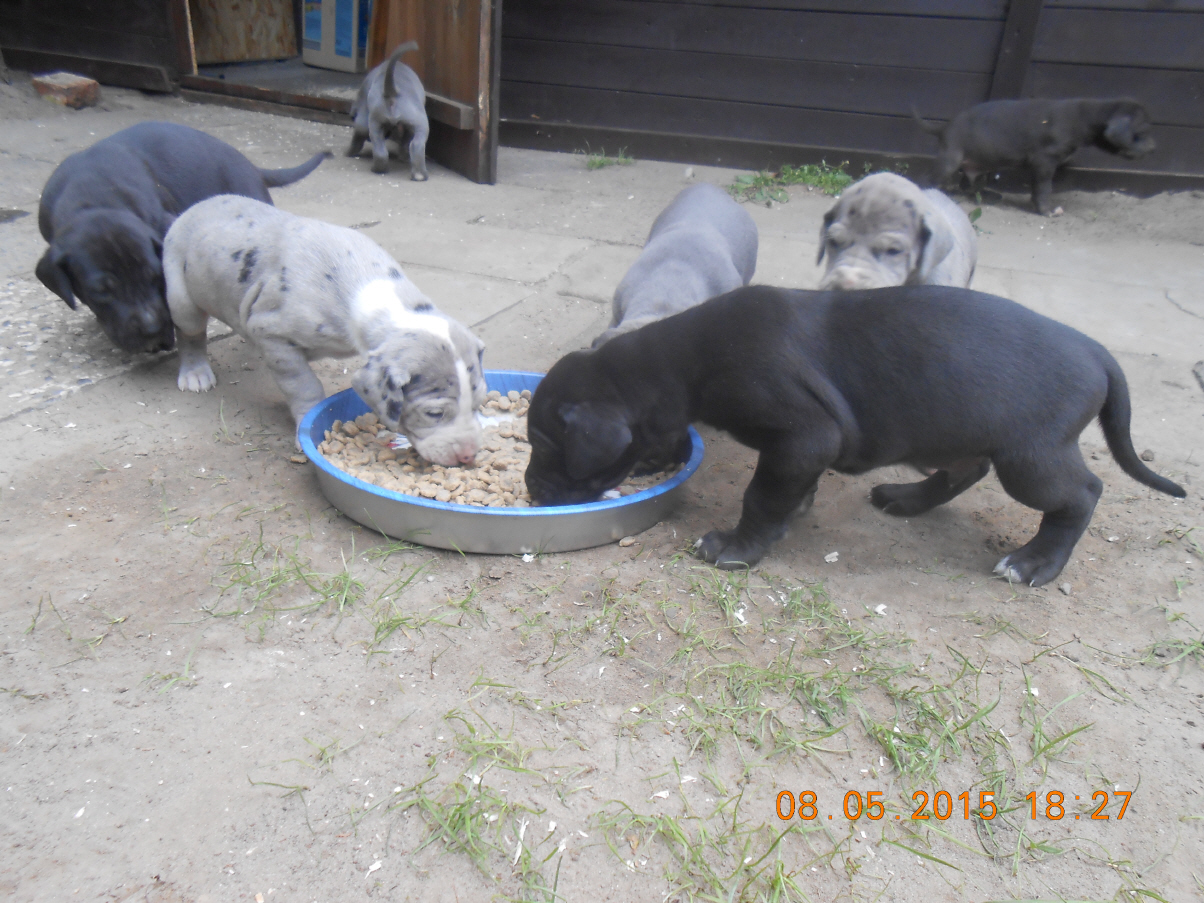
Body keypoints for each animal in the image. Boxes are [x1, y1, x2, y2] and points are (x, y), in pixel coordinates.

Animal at [162, 195, 486, 465]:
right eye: (434, 414)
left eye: (479, 402)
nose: (468, 455)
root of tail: (199, 204)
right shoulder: (271, 333)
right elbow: (304, 385)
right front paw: (305, 423)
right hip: (182, 297)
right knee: (189, 334)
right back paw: (195, 373)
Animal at [347, 41, 430, 180]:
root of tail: (392, 91)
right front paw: (403, 156)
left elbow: (357, 136)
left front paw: (348, 152)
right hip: (418, 122)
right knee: (414, 145)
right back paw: (417, 175)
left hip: (376, 122)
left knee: (382, 149)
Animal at [525, 284, 1184, 587]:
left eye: (546, 445)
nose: (531, 493)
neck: (684, 362)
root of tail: (1098, 353)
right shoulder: (799, 449)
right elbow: (787, 489)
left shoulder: (804, 434)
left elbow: (762, 494)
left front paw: (738, 546)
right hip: (964, 435)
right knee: (964, 468)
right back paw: (907, 499)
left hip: (1031, 457)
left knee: (1082, 494)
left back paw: (1036, 561)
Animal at [915, 98, 1156, 215]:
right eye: (1141, 132)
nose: (1154, 148)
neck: (1086, 116)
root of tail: (944, 128)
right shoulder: (1044, 161)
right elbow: (1044, 187)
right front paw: (1047, 211)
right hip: (950, 159)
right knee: (928, 180)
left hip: (980, 166)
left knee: (968, 185)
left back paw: (989, 196)